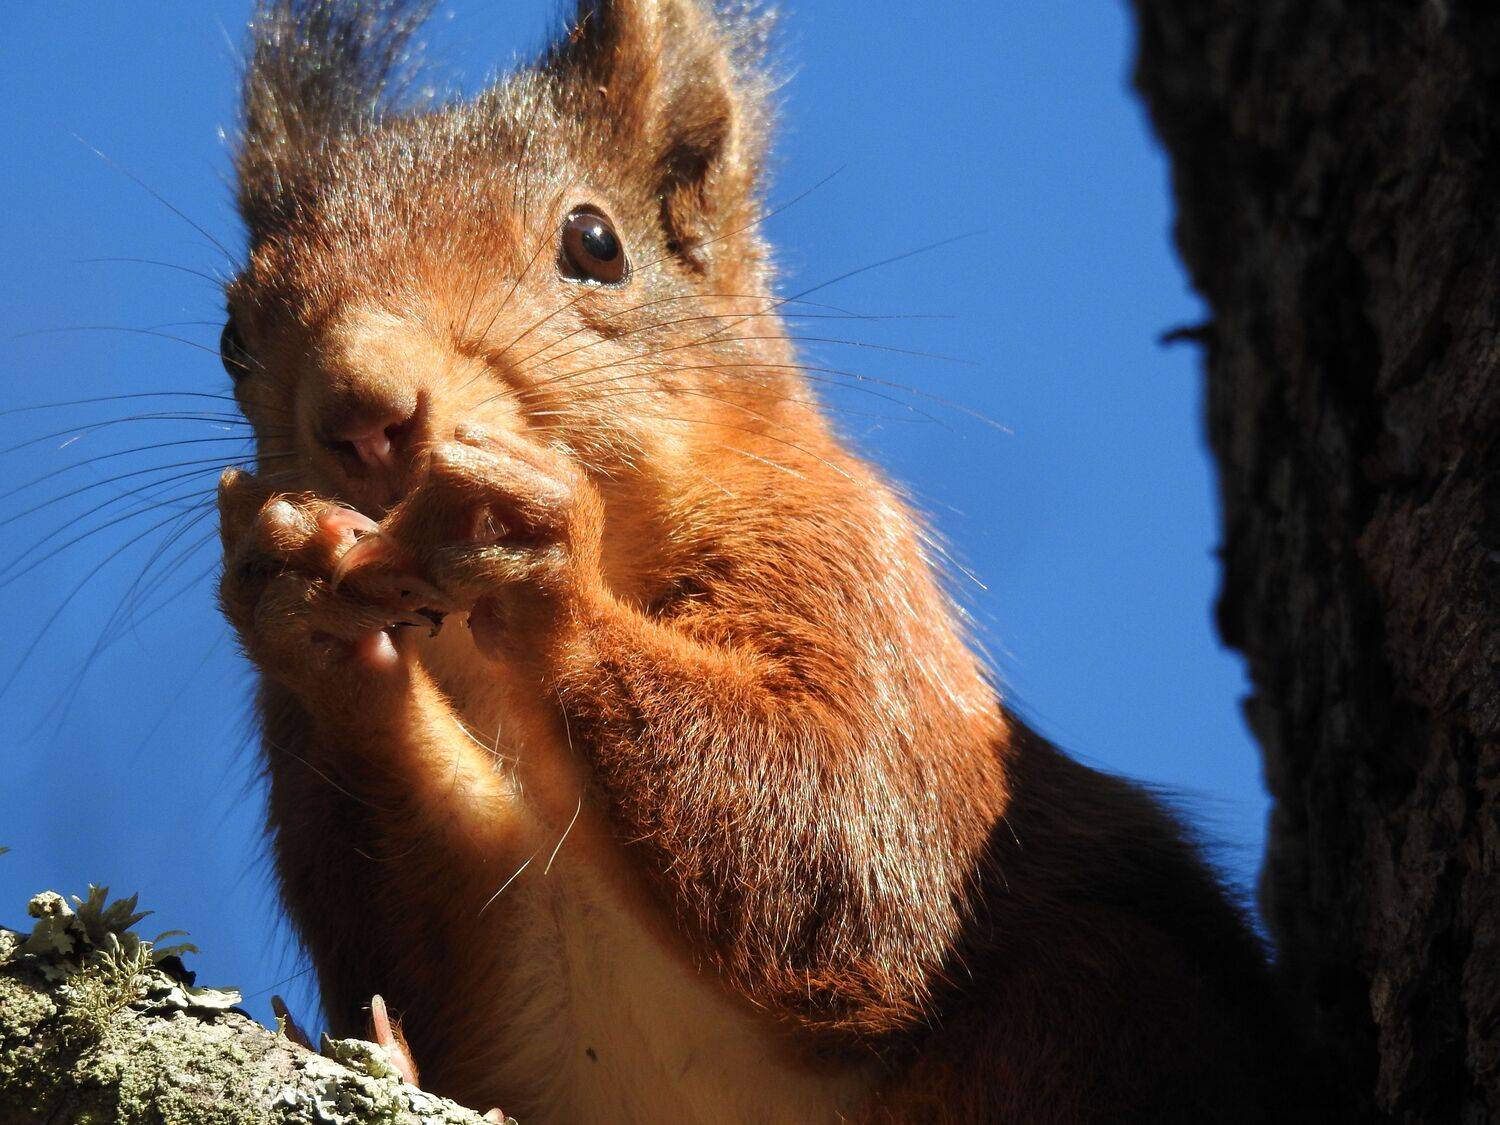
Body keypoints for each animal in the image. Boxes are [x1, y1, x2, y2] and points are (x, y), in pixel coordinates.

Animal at [215, 1, 1320, 1121]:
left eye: (595, 243)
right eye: (233, 338)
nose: (361, 409)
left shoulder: (849, 566)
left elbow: (853, 841)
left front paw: (532, 556)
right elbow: (436, 970)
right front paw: (307, 616)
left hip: (1101, 1000)